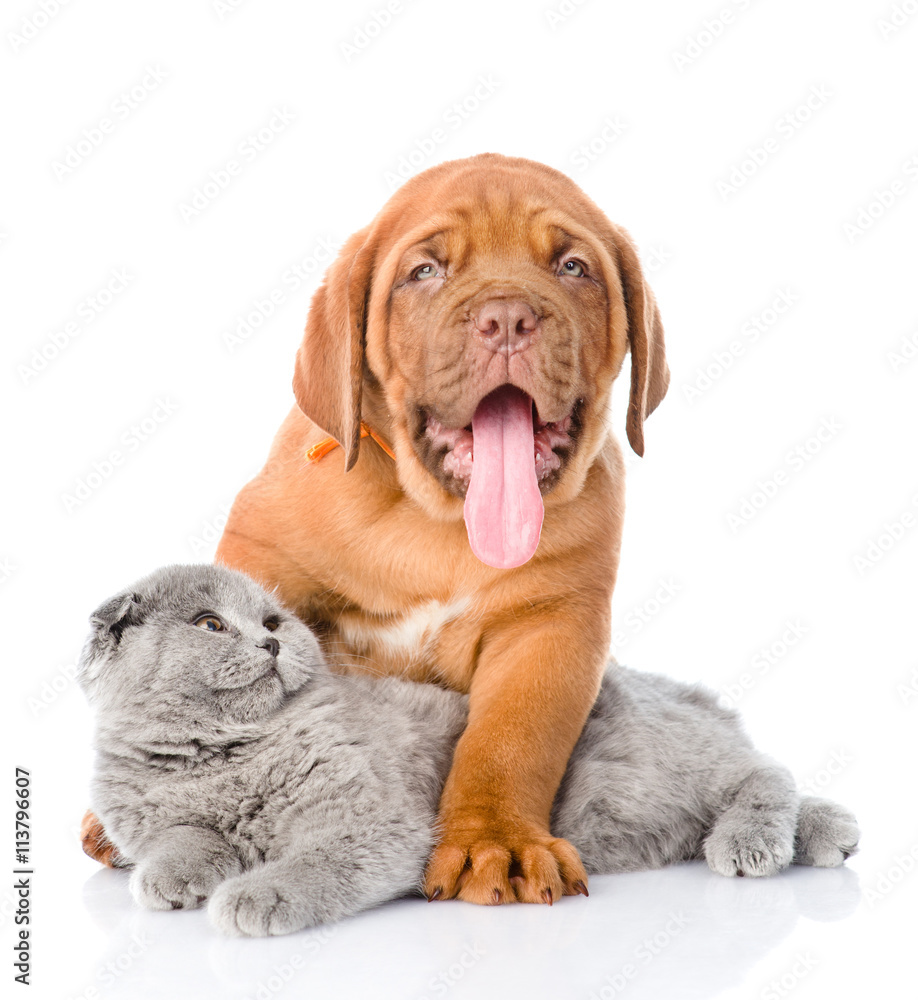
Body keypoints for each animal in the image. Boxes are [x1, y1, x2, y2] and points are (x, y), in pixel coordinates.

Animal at [79, 572, 864, 936]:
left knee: (762, 769)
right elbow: (185, 840)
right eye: (211, 623)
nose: (271, 643)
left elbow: (315, 863)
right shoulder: (156, 818)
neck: (219, 755)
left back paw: (755, 842)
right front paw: (170, 880)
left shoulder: (376, 825)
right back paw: (831, 833)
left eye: (272, 620)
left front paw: (256, 897)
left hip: (640, 765)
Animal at [81, 150, 668, 908]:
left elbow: (509, 742)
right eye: (425, 272)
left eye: (572, 266)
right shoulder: (261, 553)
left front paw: (496, 840)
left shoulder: (550, 627)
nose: (508, 317)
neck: (438, 523)